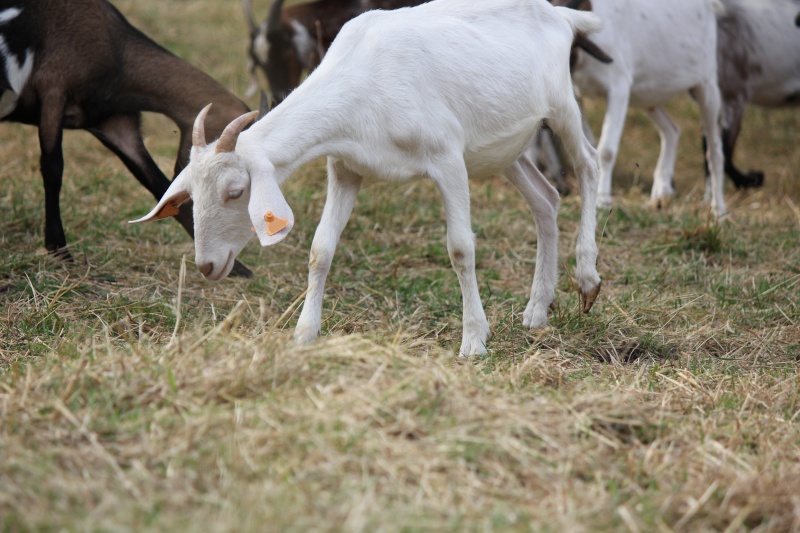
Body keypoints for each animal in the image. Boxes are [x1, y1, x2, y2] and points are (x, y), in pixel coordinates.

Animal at [133, 1, 608, 358]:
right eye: (191, 195)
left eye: (235, 192)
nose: (207, 266)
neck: (363, 78)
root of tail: (561, 15)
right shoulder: (345, 168)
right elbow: (320, 250)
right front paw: (304, 333)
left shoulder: (447, 159)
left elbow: (460, 248)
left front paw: (474, 340)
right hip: (503, 146)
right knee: (546, 199)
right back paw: (537, 310)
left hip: (561, 104)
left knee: (588, 164)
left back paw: (587, 277)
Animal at [552, 0, 728, 216]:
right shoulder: (573, 92)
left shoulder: (619, 88)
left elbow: (607, 149)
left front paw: (603, 201)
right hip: (647, 96)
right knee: (671, 130)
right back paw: (661, 193)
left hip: (706, 86)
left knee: (715, 150)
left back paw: (718, 209)